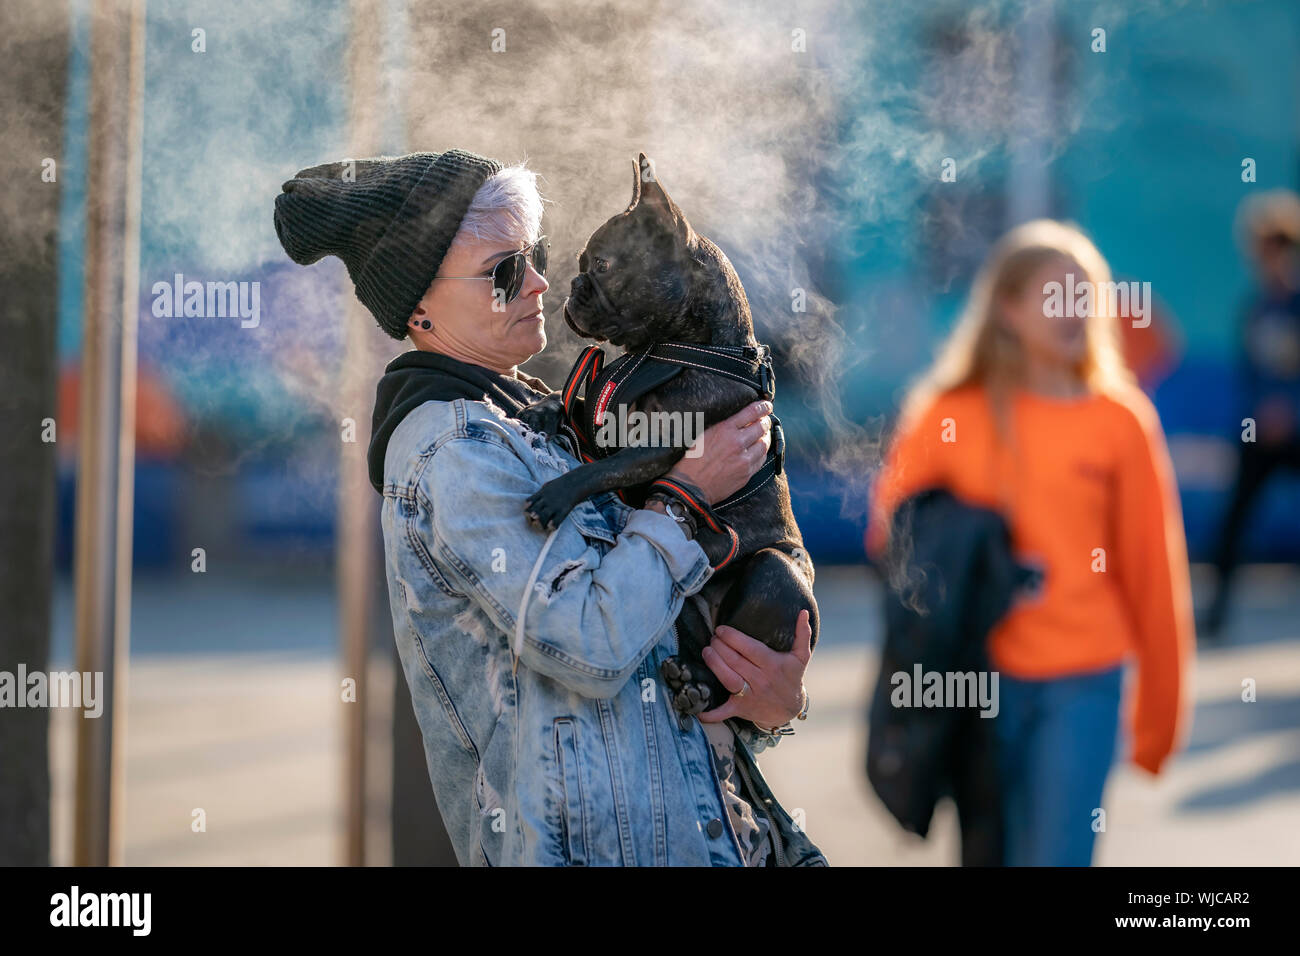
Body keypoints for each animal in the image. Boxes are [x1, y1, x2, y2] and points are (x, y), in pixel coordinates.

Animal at [514, 151, 811, 717]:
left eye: (602, 265)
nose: (572, 288)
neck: (667, 349)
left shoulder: (656, 446)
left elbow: (602, 469)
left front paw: (556, 495)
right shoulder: (604, 422)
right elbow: (574, 403)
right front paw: (541, 408)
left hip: (775, 574)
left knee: (735, 664)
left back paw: (701, 685)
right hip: (686, 603)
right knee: (706, 647)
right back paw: (692, 681)